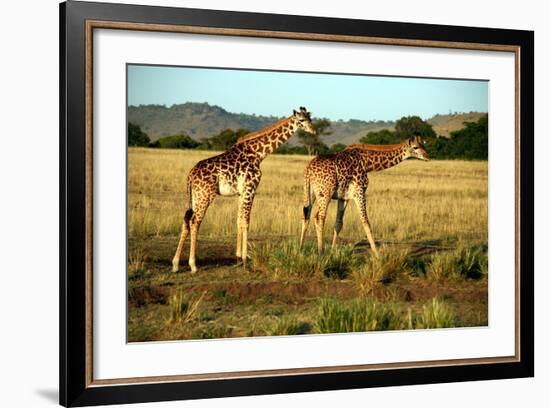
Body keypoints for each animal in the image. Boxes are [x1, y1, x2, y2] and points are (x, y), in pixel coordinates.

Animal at [172, 107, 320, 272]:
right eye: (301, 120)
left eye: (310, 118)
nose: (314, 131)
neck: (258, 153)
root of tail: (190, 176)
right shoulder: (251, 187)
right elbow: (246, 220)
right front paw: (244, 258)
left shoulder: (241, 192)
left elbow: (238, 220)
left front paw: (238, 256)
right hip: (206, 195)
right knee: (194, 221)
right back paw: (193, 265)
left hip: (195, 197)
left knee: (186, 221)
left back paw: (176, 264)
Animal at [298, 135, 432, 256]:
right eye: (415, 147)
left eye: (424, 145)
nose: (427, 157)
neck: (367, 163)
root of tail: (308, 170)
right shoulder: (360, 192)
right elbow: (366, 222)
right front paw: (377, 255)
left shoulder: (344, 197)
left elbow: (338, 223)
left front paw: (332, 251)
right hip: (325, 193)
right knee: (319, 217)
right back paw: (320, 252)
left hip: (310, 192)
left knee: (306, 216)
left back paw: (301, 249)